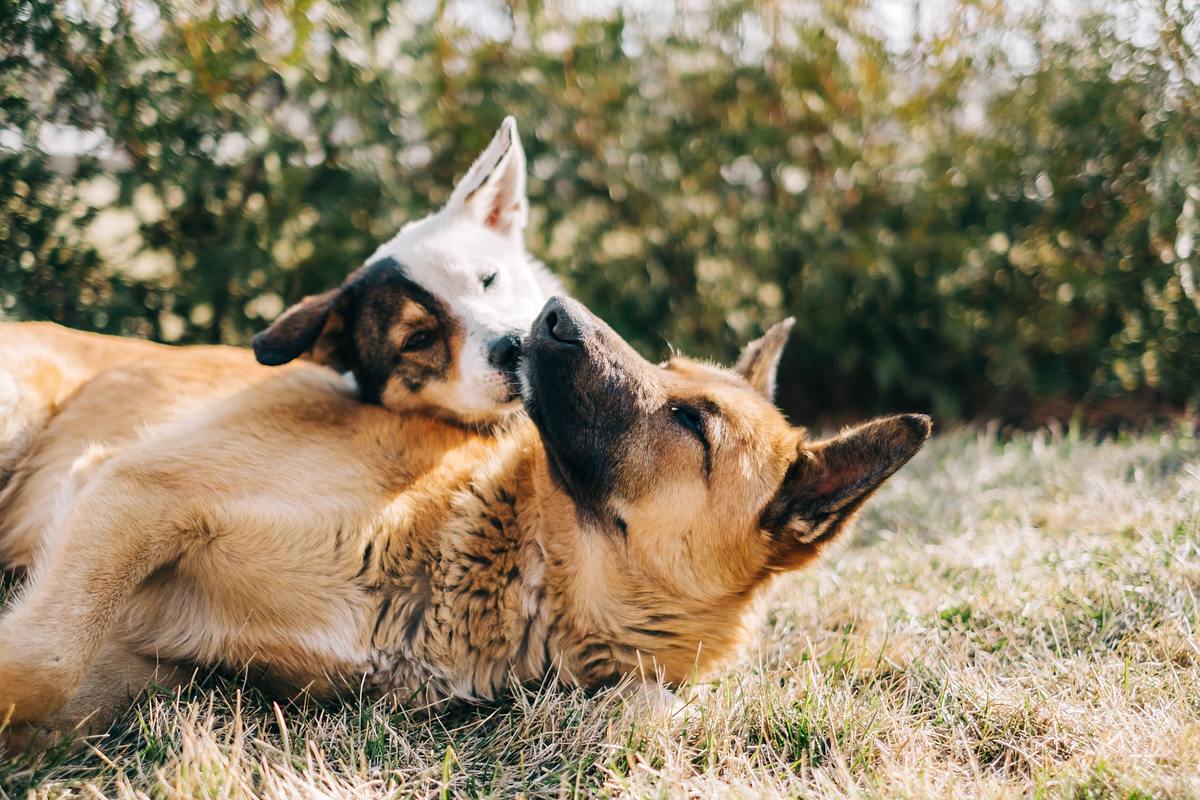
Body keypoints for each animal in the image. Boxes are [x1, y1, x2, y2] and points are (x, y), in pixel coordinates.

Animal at [0, 291, 926, 734]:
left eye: (693, 420)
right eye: (668, 369)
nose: (548, 314)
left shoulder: (143, 659)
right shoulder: (131, 489)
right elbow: (41, 665)